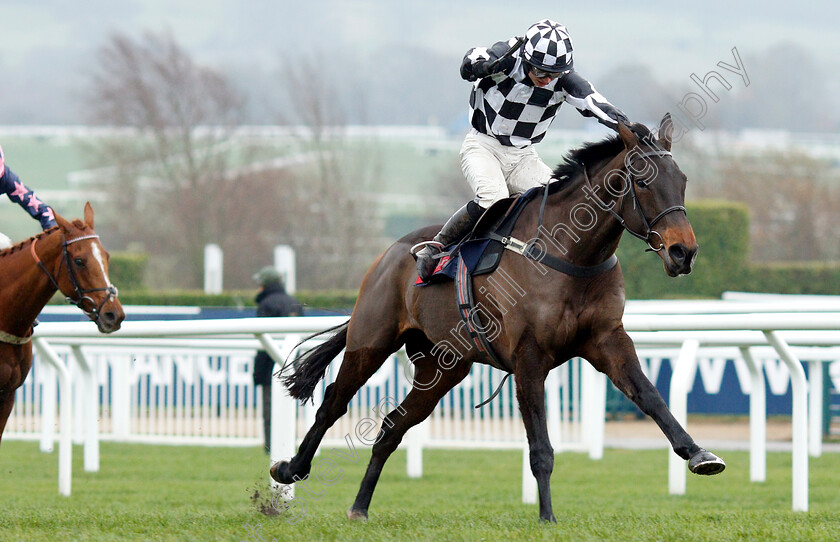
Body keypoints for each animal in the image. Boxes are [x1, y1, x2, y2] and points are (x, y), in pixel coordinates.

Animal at [272, 118, 724, 524]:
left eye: (682, 180)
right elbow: (540, 446)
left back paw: (360, 507)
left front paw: (699, 454)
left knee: (391, 427)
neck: (573, 254)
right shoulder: (529, 356)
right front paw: (547, 517)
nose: (684, 252)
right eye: (643, 182)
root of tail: (389, 254)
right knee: (333, 402)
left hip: (442, 368)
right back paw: (290, 469)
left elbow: (651, 397)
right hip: (371, 340)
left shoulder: (607, 340)